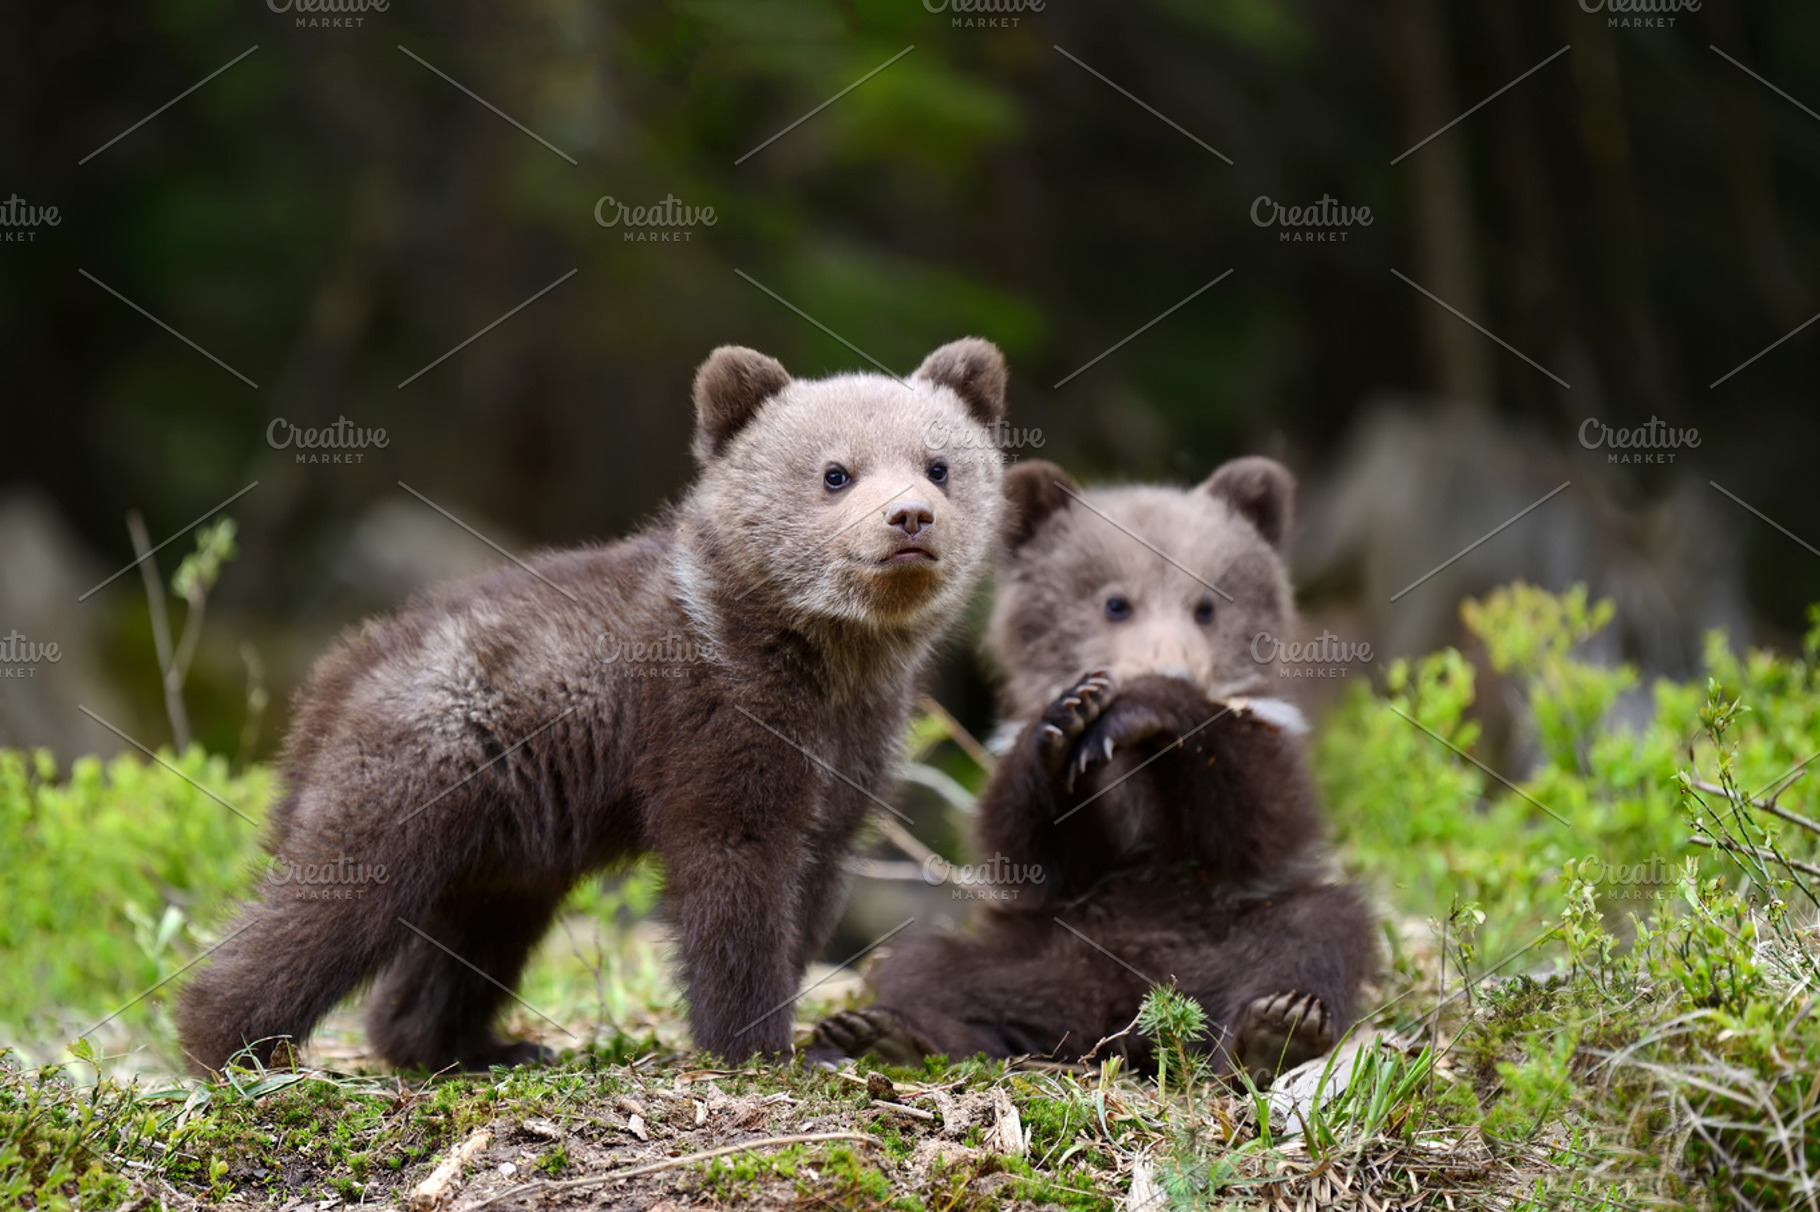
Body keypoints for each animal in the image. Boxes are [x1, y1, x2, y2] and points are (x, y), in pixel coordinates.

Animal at [176, 338, 1011, 1074]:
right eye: (836, 472)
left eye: (939, 465)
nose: (909, 518)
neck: (825, 654)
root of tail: (341, 673)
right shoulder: (716, 723)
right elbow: (735, 870)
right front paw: (760, 1043)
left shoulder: (852, 751)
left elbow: (815, 876)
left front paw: (829, 1032)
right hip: (421, 767)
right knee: (331, 904)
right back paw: (229, 1043)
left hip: (507, 842)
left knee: (470, 937)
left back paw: (474, 1047)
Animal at [808, 457, 1378, 1086]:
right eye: (1116, 604)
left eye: (1207, 607)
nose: (1171, 661)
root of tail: (1131, 1021)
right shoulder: (1051, 836)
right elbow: (1032, 841)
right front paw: (1069, 717)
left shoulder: (1267, 743)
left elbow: (1256, 820)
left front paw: (1146, 704)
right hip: (1044, 949)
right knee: (931, 963)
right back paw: (890, 1036)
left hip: (1228, 937)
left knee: (1320, 928)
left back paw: (1276, 1030)